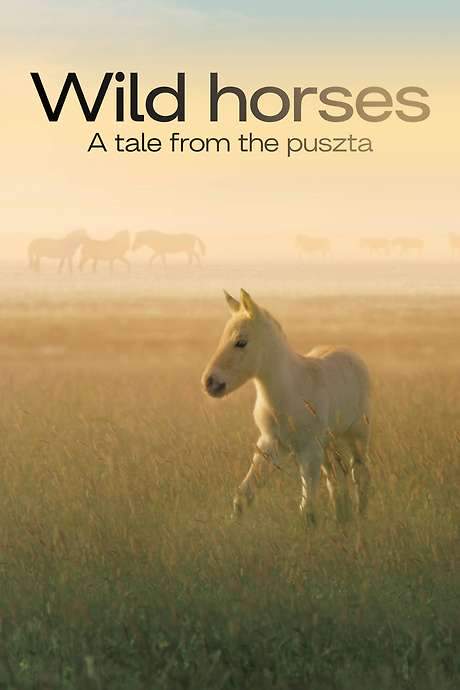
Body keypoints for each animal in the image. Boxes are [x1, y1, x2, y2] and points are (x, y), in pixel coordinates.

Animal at [201, 290, 371, 526]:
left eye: (241, 342)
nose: (210, 382)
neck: (288, 392)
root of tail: (351, 353)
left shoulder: (309, 450)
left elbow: (307, 508)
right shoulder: (270, 444)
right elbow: (243, 495)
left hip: (356, 436)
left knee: (360, 472)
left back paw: (359, 515)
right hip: (328, 444)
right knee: (335, 478)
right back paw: (341, 516)